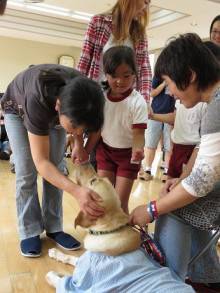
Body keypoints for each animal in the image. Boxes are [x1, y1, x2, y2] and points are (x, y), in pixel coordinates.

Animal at [46, 163, 194, 290]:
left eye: (93, 181)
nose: (84, 161)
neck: (108, 231)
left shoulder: (82, 282)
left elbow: (58, 279)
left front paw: (52, 274)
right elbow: (72, 258)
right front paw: (56, 253)